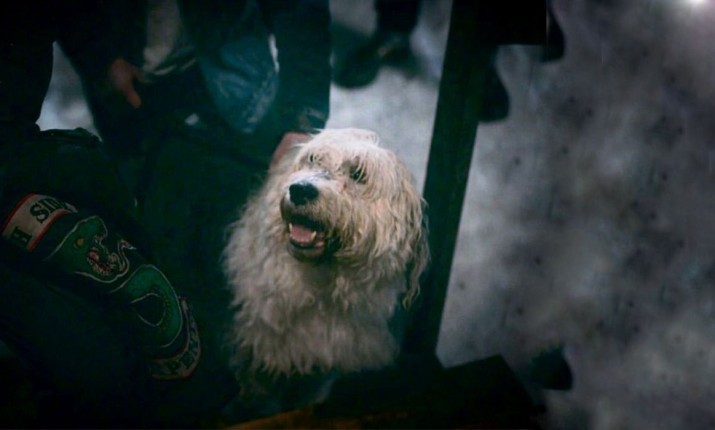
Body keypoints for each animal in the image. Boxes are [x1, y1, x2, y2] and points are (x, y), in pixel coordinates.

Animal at [222, 128, 428, 411]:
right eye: (312, 159)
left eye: (358, 173)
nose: (300, 190)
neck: (322, 289)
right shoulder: (262, 340)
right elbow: (258, 384)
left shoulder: (329, 361)